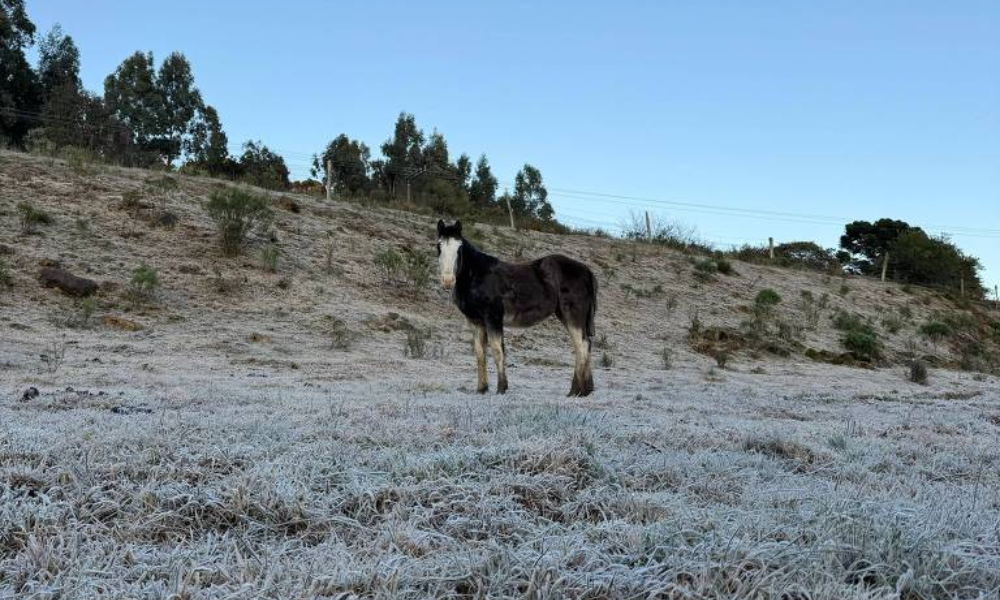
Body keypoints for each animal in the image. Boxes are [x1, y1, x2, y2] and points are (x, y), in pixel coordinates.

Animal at [436, 219, 598, 396]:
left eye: (459, 248)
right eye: (439, 246)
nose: (447, 280)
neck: (477, 276)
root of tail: (586, 270)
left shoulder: (493, 318)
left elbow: (497, 351)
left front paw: (501, 388)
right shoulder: (475, 321)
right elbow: (480, 353)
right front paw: (481, 388)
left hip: (572, 314)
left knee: (582, 346)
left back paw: (577, 391)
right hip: (564, 314)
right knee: (584, 345)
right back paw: (584, 390)